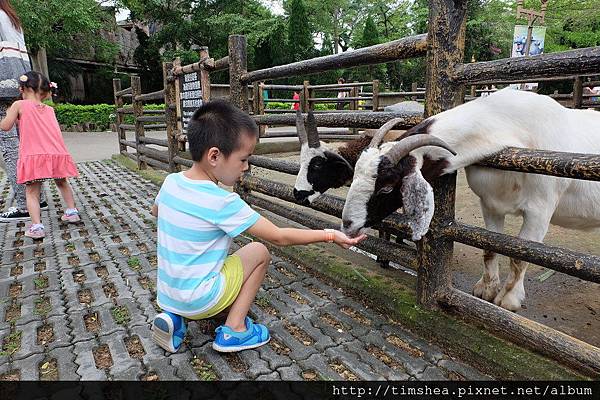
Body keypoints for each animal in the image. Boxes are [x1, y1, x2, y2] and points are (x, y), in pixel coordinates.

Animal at [340, 88, 600, 312]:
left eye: (386, 187)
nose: (347, 224)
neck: (510, 125)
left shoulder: (540, 210)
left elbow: (520, 256)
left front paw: (509, 300)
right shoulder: (490, 203)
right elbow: (489, 246)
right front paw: (486, 290)